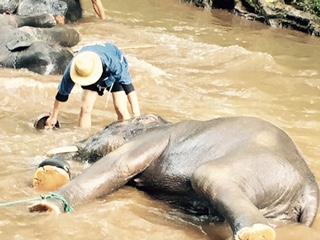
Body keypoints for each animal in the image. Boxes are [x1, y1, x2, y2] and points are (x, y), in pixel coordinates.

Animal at [29, 114, 318, 240]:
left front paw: (44, 208)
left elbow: (118, 165)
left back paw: (255, 233)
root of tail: (310, 188)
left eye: (108, 127)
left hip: (261, 167)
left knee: (209, 176)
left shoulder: (153, 141)